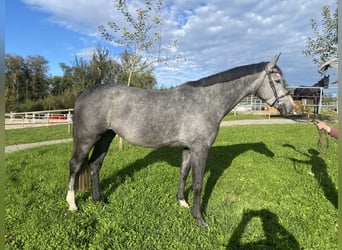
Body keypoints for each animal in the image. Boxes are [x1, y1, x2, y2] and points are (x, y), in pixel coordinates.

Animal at [66, 54, 294, 227]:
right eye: (278, 81)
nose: (289, 107)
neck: (207, 101)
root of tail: (84, 92)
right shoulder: (201, 149)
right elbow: (198, 183)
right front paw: (199, 219)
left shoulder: (188, 148)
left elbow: (184, 173)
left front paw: (182, 202)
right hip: (87, 138)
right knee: (75, 165)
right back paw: (72, 204)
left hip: (106, 137)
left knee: (95, 164)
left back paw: (99, 200)